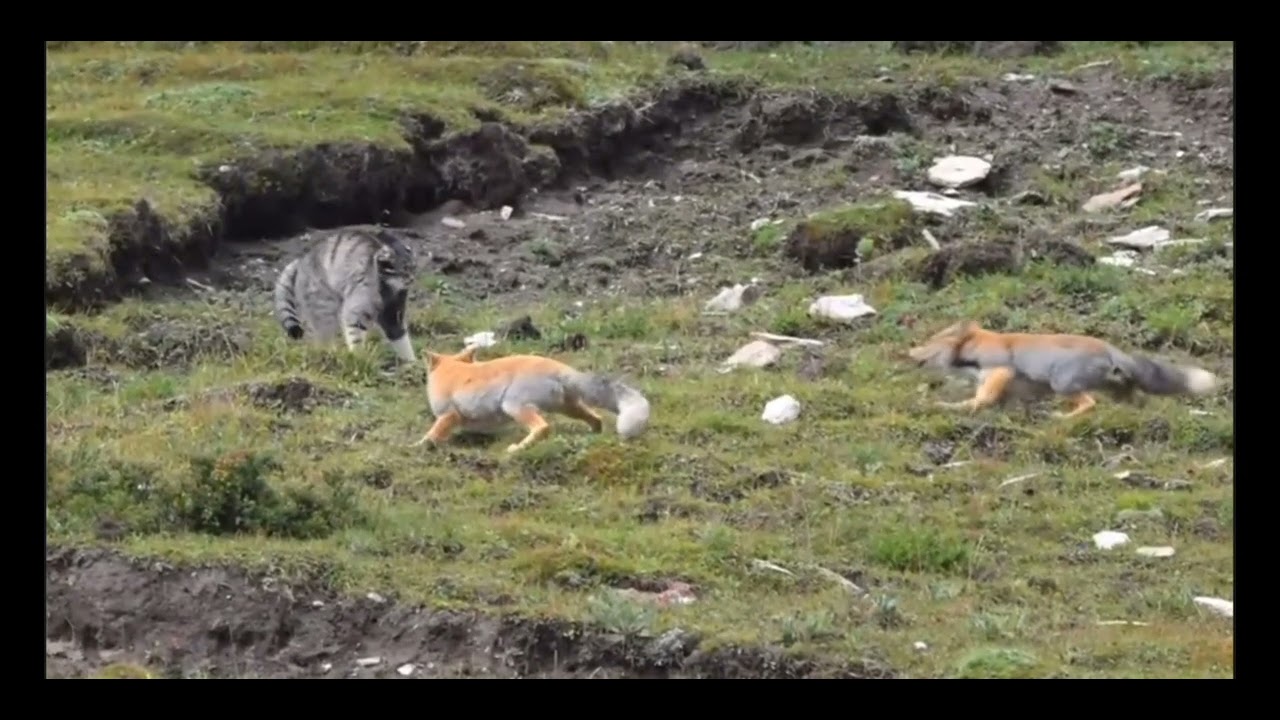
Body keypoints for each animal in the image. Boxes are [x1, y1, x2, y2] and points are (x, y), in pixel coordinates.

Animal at [410, 345, 651, 453]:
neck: (453, 370)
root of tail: (559, 367)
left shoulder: (447, 415)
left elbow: (432, 435)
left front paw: (418, 445)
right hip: (568, 407)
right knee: (597, 419)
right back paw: (593, 436)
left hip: (514, 406)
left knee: (543, 428)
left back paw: (518, 448)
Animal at [907, 320, 1219, 419]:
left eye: (931, 341)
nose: (909, 352)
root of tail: (1110, 348)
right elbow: (996, 401)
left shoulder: (1000, 370)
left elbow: (979, 400)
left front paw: (948, 406)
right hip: (1115, 387)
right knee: (1133, 398)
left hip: (1062, 383)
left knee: (1090, 403)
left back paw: (1061, 418)